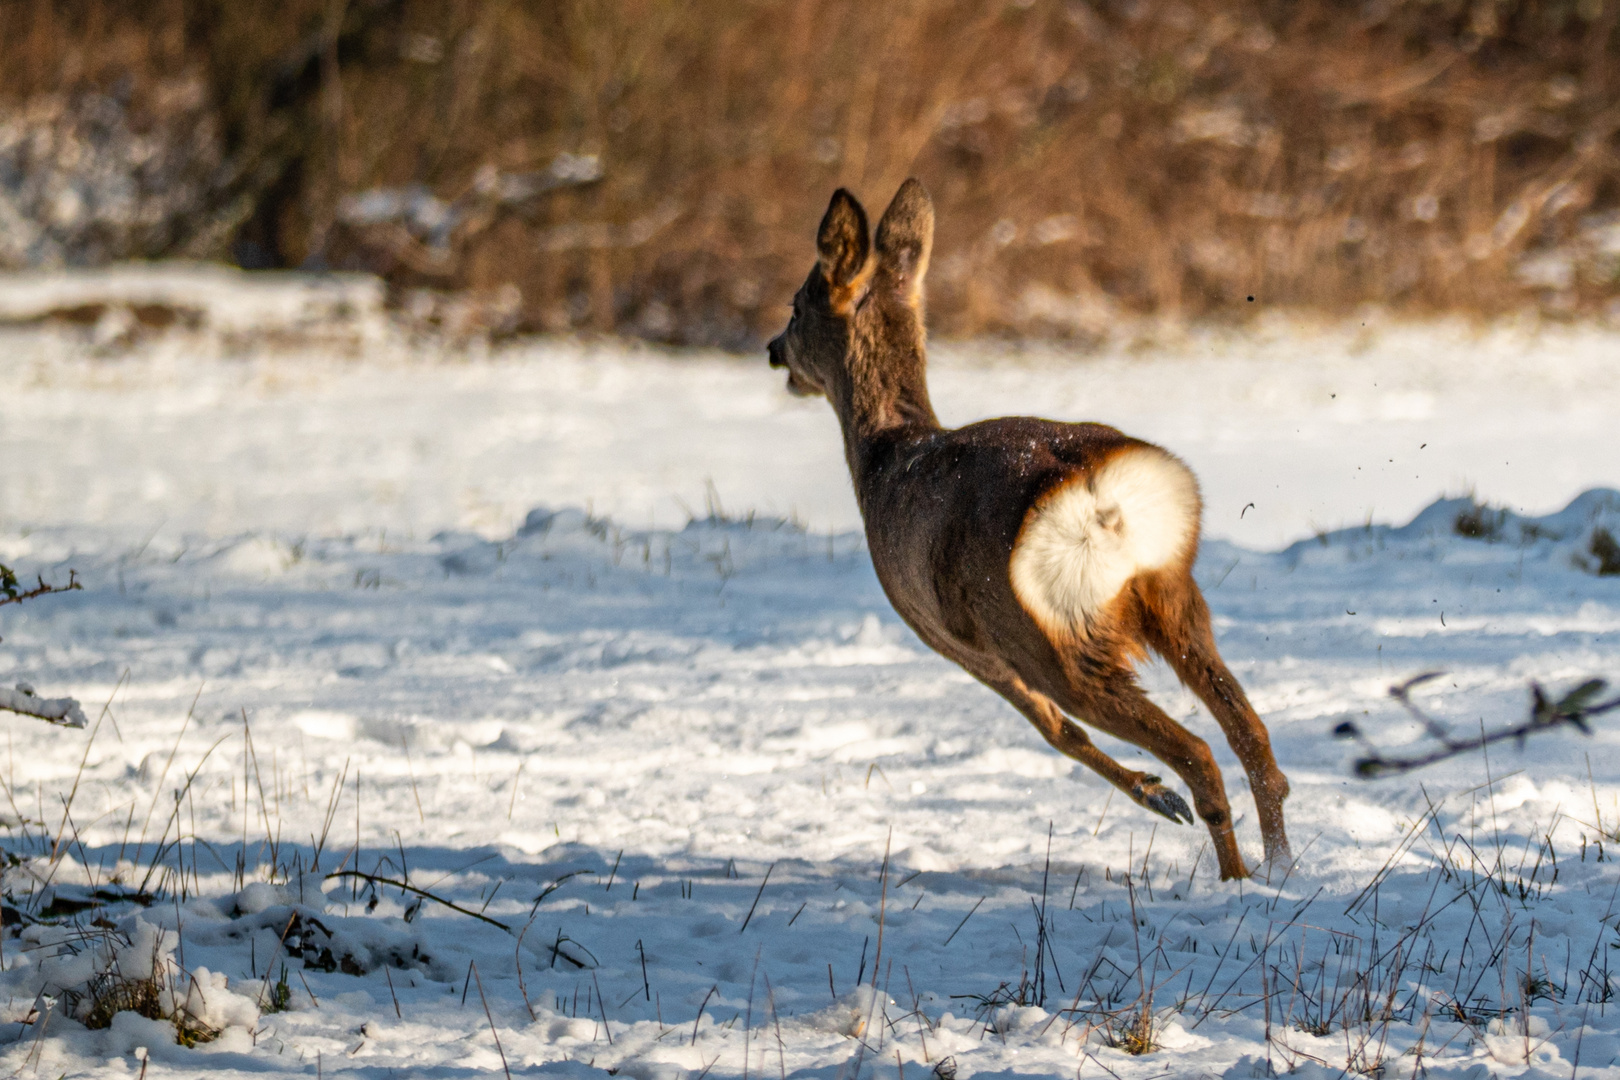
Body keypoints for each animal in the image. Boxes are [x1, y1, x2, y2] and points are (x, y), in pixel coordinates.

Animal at [767, 181, 1289, 880]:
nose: (773, 349)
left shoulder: (950, 637)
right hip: (1171, 588)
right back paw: (1281, 866)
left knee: (1193, 751)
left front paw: (1155, 795)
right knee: (1253, 740)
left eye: (797, 305)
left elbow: (1055, 733)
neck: (884, 456)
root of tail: (1096, 495)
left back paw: (1228, 863)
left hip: (1045, 632)